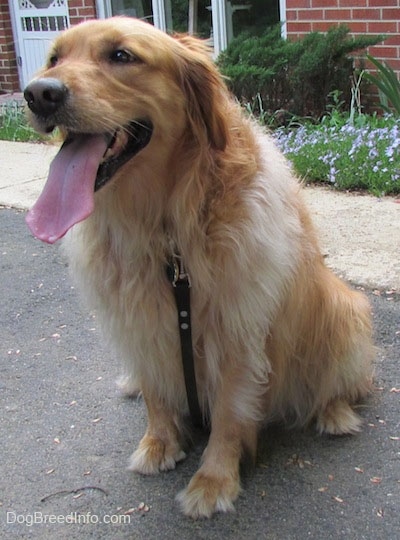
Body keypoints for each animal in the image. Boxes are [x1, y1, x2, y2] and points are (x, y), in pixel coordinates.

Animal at [24, 17, 376, 520]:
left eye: (121, 56)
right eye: (54, 58)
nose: (39, 93)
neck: (164, 230)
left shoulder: (237, 328)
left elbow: (230, 412)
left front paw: (213, 481)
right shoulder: (137, 320)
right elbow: (155, 392)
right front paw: (158, 443)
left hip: (345, 310)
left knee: (344, 381)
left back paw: (334, 413)